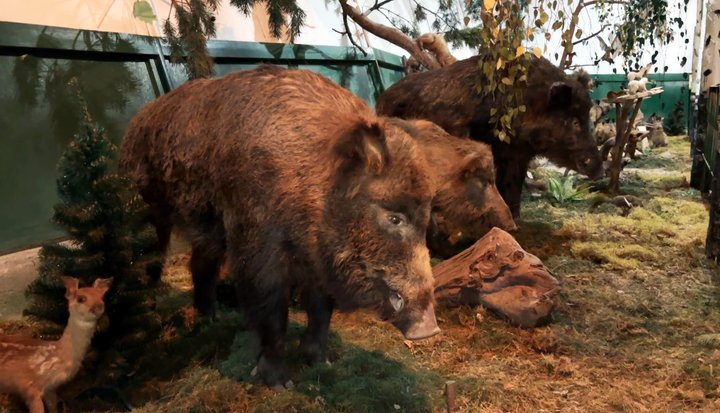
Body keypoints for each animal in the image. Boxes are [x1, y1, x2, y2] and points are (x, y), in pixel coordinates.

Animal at [0, 277, 112, 413]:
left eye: (102, 297)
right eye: (81, 298)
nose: (98, 307)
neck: (59, 354)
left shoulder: (51, 388)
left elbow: (53, 407)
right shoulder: (29, 386)